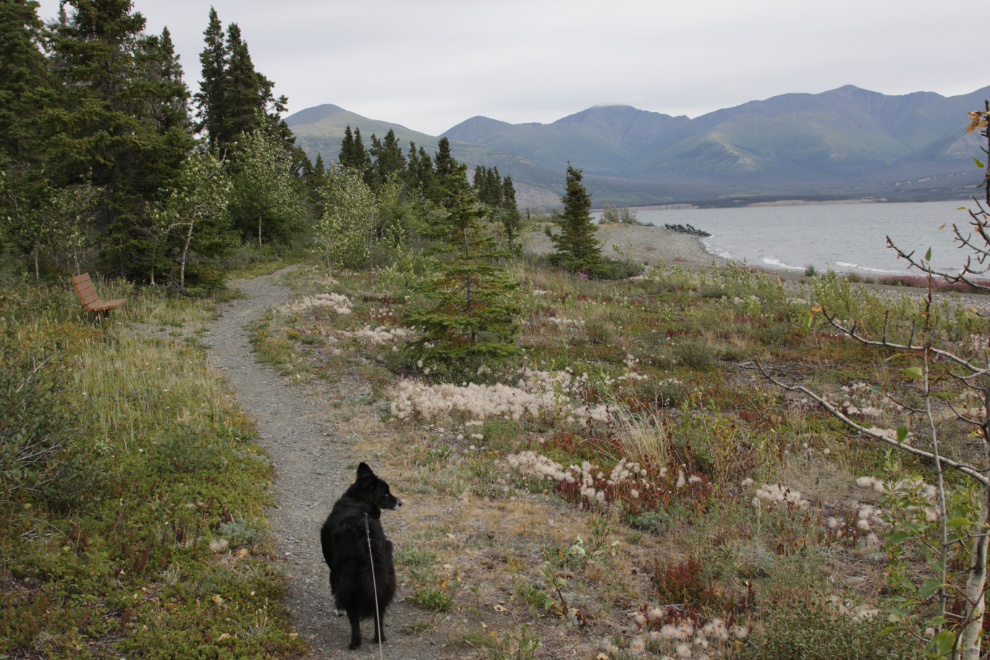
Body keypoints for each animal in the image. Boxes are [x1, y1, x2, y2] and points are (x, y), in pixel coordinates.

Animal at [324, 464, 404, 648]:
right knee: (379, 611)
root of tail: (363, 536)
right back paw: (379, 638)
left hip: (349, 578)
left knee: (354, 616)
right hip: (383, 574)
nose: (400, 502)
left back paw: (355, 643)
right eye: (386, 494)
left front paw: (338, 610)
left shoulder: (335, 570)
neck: (357, 501)